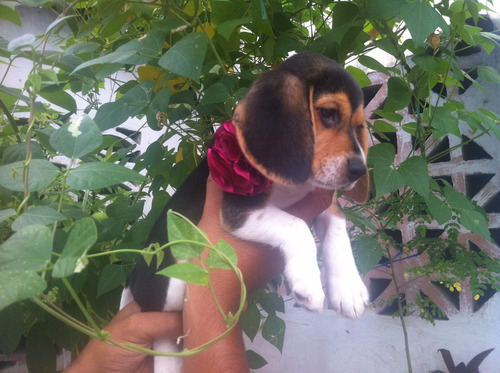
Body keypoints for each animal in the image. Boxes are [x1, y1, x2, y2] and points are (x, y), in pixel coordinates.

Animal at [120, 52, 372, 372]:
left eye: (360, 126)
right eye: (328, 113)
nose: (359, 170)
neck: (295, 185)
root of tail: (132, 278)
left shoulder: (322, 198)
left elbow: (339, 226)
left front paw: (348, 289)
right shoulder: (238, 210)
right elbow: (297, 227)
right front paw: (308, 282)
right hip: (175, 280)